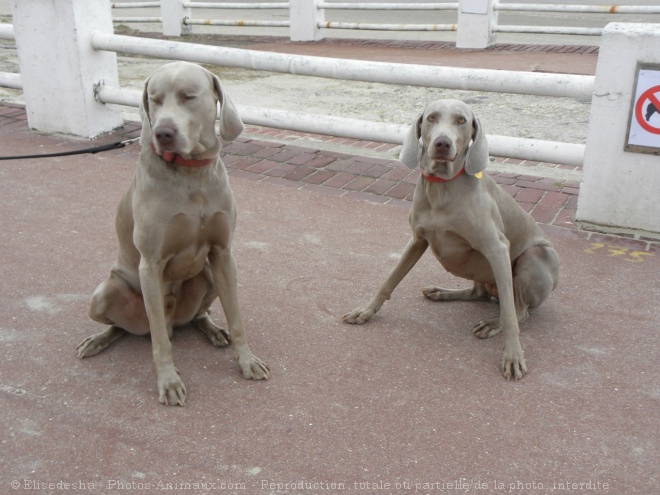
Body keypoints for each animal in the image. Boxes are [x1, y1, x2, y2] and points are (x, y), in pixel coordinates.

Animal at [78, 60, 270, 404]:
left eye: (188, 96)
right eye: (153, 99)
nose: (162, 133)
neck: (191, 174)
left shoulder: (223, 254)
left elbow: (236, 318)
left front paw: (246, 360)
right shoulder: (150, 264)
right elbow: (159, 341)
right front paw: (168, 382)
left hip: (207, 274)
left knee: (197, 316)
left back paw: (212, 330)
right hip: (104, 293)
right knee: (129, 328)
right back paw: (98, 340)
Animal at [342, 100, 560, 380]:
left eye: (461, 120)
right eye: (432, 118)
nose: (442, 143)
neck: (441, 186)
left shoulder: (497, 247)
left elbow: (511, 317)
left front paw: (513, 356)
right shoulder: (417, 239)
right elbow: (389, 280)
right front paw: (366, 311)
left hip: (534, 257)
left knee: (518, 309)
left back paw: (492, 323)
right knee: (480, 293)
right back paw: (441, 292)